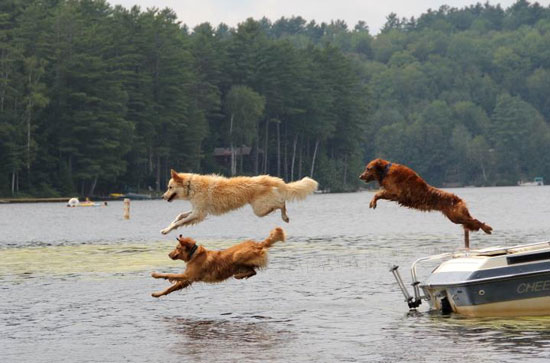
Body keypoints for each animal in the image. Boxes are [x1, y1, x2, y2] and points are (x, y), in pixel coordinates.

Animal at [153, 229, 286, 298]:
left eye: (177, 248)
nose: (168, 254)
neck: (194, 254)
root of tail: (258, 244)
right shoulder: (188, 279)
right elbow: (171, 288)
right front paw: (157, 294)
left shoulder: (188, 275)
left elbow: (170, 275)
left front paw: (156, 274)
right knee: (252, 271)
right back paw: (240, 276)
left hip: (236, 256)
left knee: (252, 270)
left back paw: (239, 276)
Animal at [161, 170, 320, 235]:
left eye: (169, 187)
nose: (162, 197)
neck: (191, 186)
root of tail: (268, 178)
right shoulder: (197, 211)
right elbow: (180, 216)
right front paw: (167, 227)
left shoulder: (198, 213)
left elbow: (180, 222)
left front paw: (167, 230)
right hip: (261, 208)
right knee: (281, 202)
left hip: (259, 209)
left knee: (281, 202)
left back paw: (285, 217)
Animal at [360, 160, 494, 235]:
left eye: (368, 168)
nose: (360, 176)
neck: (386, 171)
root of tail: (458, 199)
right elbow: (378, 193)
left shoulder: (396, 193)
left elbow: (377, 193)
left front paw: (373, 202)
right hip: (455, 218)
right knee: (473, 221)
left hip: (457, 216)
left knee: (475, 220)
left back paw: (487, 228)